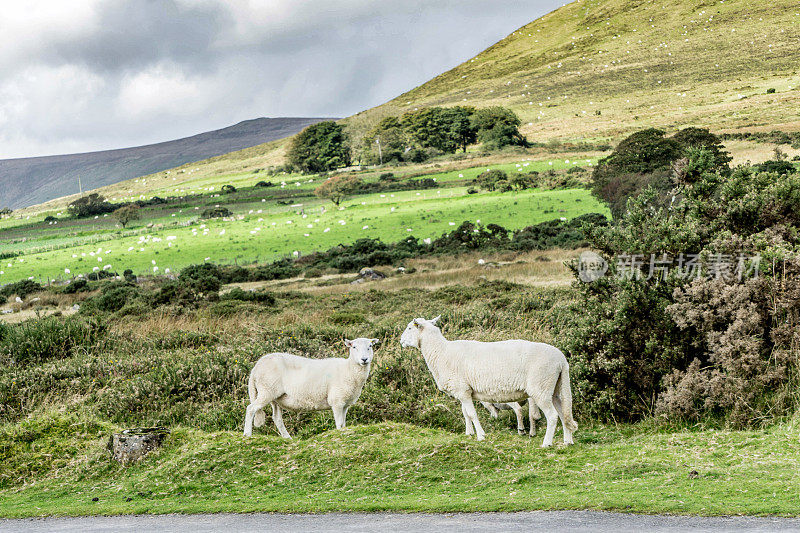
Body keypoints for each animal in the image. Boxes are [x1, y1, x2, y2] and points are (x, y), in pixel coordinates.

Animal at [242, 336, 380, 436]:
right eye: (354, 347)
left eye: (370, 346)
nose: (364, 359)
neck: (348, 369)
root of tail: (256, 367)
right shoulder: (337, 400)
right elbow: (339, 423)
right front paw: (338, 433)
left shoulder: (345, 403)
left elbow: (343, 424)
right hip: (267, 390)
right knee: (251, 409)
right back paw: (247, 434)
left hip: (275, 396)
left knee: (277, 418)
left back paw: (287, 438)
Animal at [398, 316, 576, 444]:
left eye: (409, 328)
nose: (400, 341)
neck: (440, 352)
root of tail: (561, 360)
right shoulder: (464, 391)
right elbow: (465, 413)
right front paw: (469, 433)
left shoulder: (462, 390)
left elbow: (471, 414)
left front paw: (481, 436)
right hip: (555, 388)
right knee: (563, 413)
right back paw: (567, 441)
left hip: (540, 387)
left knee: (552, 416)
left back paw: (546, 443)